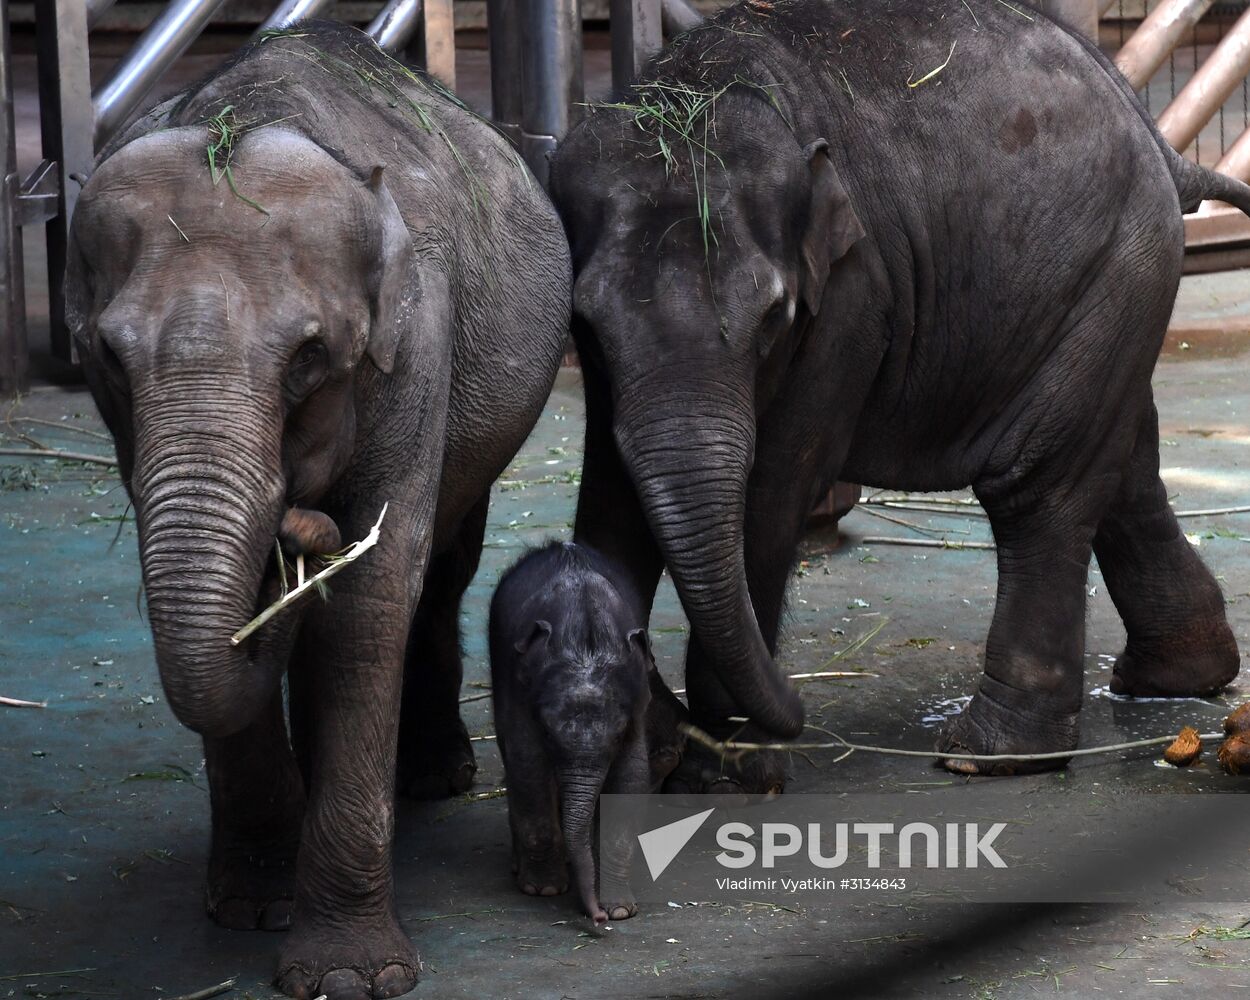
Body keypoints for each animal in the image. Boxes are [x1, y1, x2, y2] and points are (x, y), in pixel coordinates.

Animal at [64, 23, 570, 1000]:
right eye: (106, 353)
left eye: (308, 359)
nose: (298, 528)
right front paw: (251, 908)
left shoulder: (417, 343)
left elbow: (372, 595)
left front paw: (348, 977)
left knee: (443, 566)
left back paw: (436, 775)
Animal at [489, 541, 679, 924]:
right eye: (549, 733)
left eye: (618, 736)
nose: (598, 918)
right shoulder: (519, 688)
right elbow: (527, 762)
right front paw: (545, 890)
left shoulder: (637, 699)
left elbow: (631, 775)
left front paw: (619, 909)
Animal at [549, 0, 1245, 792]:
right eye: (586, 323)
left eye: (775, 316)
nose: (792, 709)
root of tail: (1154, 133)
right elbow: (611, 497)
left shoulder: (851, 298)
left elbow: (770, 492)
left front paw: (724, 769)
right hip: (1114, 286)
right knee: (1124, 460)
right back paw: (1176, 679)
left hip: (1116, 265)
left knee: (1038, 487)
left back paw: (985, 756)